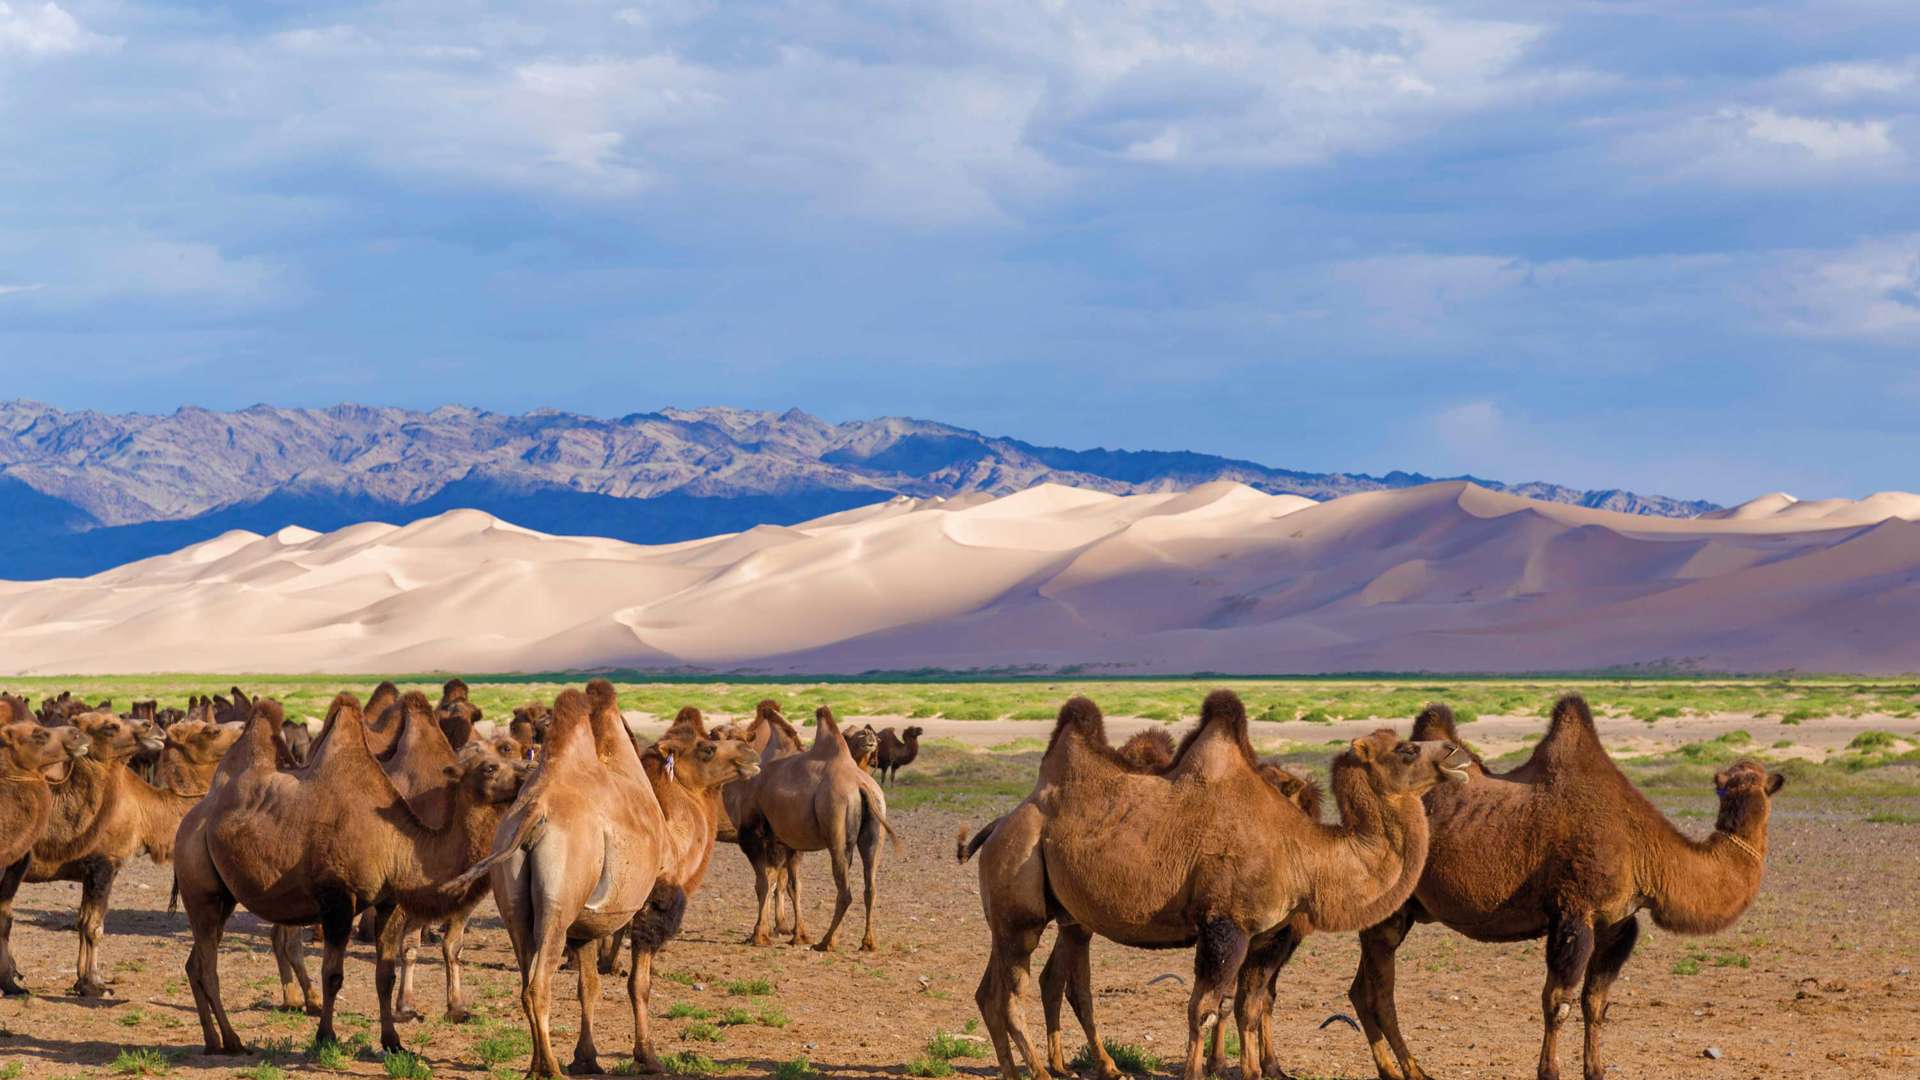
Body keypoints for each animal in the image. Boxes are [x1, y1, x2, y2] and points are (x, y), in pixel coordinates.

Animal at [176, 687, 529, 1053]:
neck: (397, 840)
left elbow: (385, 974)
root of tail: (192, 817)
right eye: (490, 767)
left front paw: (392, 1041)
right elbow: (333, 975)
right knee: (209, 966)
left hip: (222, 896)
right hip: (200, 888)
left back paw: (213, 1040)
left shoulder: (388, 901)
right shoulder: (338, 900)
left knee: (196, 962)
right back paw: (232, 1040)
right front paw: (325, 1037)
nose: (525, 776)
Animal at [458, 676, 675, 1068]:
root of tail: (534, 813)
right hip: (558, 905)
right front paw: (648, 1057)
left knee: (525, 981)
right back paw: (551, 1070)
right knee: (537, 985)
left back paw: (535, 1068)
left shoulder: (586, 925)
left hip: (516, 903)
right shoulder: (650, 897)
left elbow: (588, 986)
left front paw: (586, 1058)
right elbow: (639, 983)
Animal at [737, 707, 894, 949]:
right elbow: (791, 884)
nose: (869, 736)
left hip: (835, 823)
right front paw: (795, 935)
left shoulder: (759, 835)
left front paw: (759, 935)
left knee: (845, 891)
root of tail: (861, 786)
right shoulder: (789, 842)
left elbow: (765, 882)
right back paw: (866, 943)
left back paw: (825, 942)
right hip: (875, 825)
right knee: (870, 886)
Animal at [975, 687, 1466, 1076]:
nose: (1452, 752)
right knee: (1011, 995)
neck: (1304, 854)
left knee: (992, 992)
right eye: (1406, 750)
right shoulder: (1225, 924)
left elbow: (1247, 1006)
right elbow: (1204, 1009)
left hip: (1031, 914)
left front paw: (1257, 1070)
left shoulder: (1264, 933)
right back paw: (1042, 1072)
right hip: (1018, 898)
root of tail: (998, 826)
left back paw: (1019, 1071)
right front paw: (1200, 1072)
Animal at [1351, 691, 1781, 1076]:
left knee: (1360, 990)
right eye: (1733, 784)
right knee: (1380, 993)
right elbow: (1557, 1003)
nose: (1769, 781)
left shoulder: (1617, 923)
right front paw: (1550, 1071)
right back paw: (1411, 1071)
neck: (1644, 846)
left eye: (1761, 783)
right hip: (1389, 903)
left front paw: (1596, 1070)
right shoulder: (1574, 911)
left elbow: (1596, 1002)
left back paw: (1393, 1069)